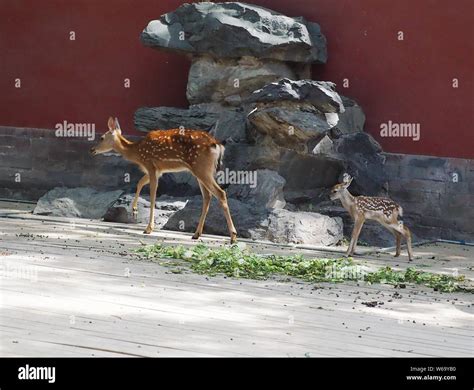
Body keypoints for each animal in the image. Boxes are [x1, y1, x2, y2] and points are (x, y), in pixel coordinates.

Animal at [90, 117, 237, 242]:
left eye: (101, 138)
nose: (92, 150)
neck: (137, 152)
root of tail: (217, 144)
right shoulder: (158, 170)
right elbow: (140, 182)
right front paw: (134, 211)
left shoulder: (150, 164)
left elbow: (152, 195)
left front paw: (148, 228)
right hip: (201, 171)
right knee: (207, 196)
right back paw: (196, 234)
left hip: (202, 167)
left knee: (220, 193)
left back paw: (233, 236)